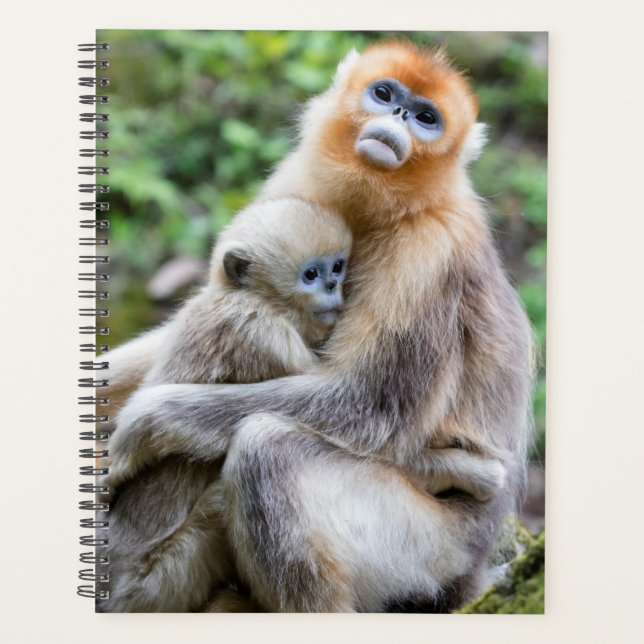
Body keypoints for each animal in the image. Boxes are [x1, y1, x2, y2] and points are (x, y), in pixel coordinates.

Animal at [106, 41, 533, 613]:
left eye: (427, 118)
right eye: (385, 93)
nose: (399, 116)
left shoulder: (431, 249)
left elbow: (372, 407)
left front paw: (143, 423)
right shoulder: (298, 179)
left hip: (431, 549)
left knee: (266, 450)